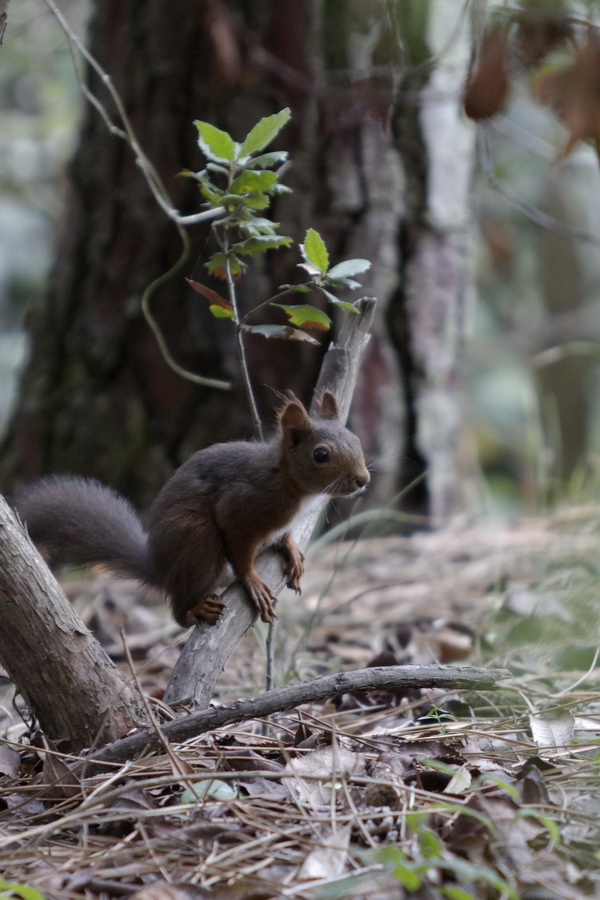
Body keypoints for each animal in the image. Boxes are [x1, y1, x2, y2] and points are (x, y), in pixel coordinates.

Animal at [15, 390, 370, 628]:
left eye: (356, 439)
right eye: (321, 455)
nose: (363, 479)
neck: (291, 485)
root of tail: (158, 567)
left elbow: (284, 537)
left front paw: (292, 550)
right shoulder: (242, 508)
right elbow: (240, 551)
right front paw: (253, 582)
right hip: (195, 536)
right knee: (179, 611)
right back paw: (193, 611)